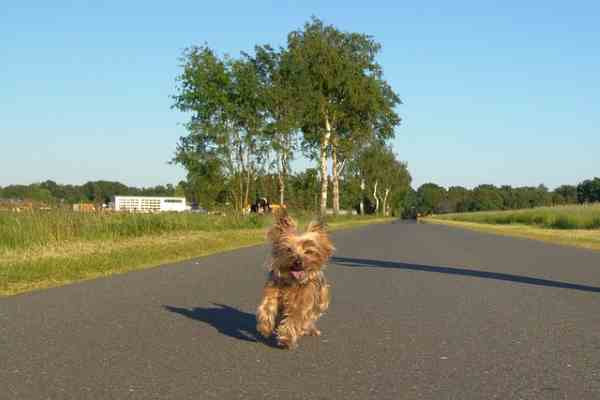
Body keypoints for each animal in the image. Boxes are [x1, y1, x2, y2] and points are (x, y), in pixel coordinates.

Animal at [255, 211, 336, 348]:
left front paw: (286, 338)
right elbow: (267, 306)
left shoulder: (304, 300)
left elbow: (295, 317)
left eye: (308, 251)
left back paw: (309, 329)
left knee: (310, 317)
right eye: (288, 249)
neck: (292, 281)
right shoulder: (273, 289)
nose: (298, 261)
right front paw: (265, 327)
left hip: (322, 299)